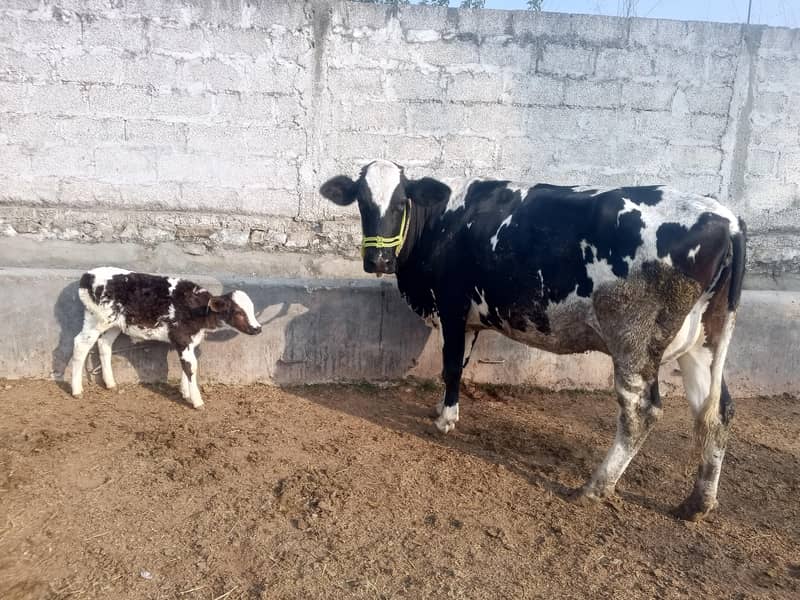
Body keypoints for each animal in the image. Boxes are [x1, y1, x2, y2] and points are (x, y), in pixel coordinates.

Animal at [70, 267, 262, 408]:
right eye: (238, 312)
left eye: (252, 309)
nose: (257, 328)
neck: (197, 309)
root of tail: (88, 275)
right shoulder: (182, 338)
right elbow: (191, 367)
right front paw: (197, 401)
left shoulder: (188, 341)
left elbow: (188, 365)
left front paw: (185, 393)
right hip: (97, 320)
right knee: (81, 344)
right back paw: (77, 390)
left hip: (115, 324)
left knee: (104, 343)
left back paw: (110, 383)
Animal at [320, 159, 746, 521]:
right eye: (362, 202)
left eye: (400, 202)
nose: (378, 261)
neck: (443, 220)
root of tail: (725, 216)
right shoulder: (469, 319)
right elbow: (459, 366)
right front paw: (442, 408)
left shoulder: (452, 305)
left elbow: (450, 367)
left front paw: (445, 420)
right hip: (703, 341)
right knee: (716, 410)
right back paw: (697, 503)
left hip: (634, 341)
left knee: (641, 410)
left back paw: (594, 488)